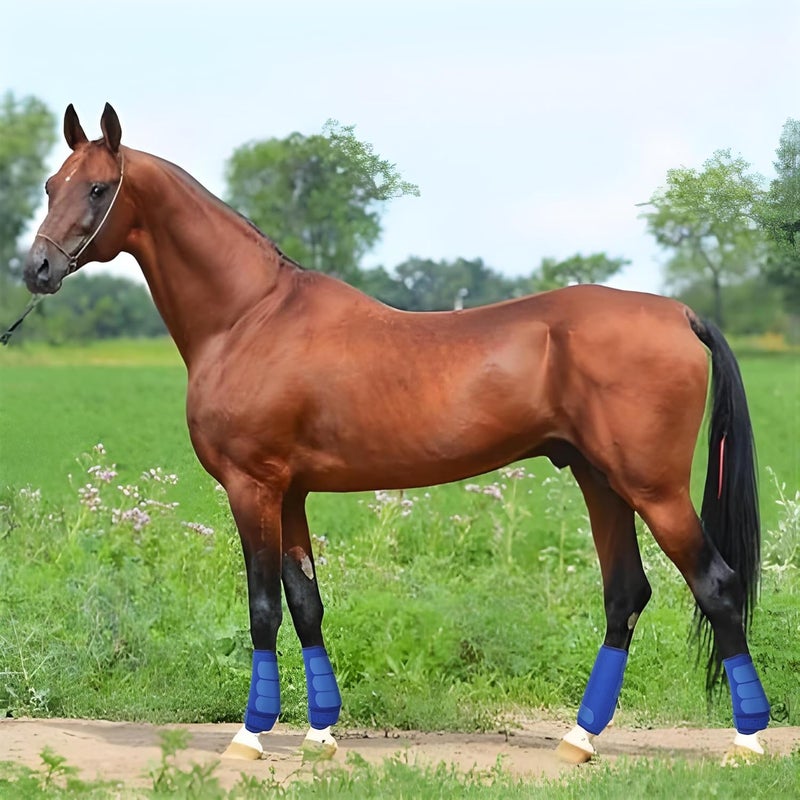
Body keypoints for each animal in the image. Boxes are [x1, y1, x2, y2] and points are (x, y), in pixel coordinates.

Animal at [23, 104, 770, 763]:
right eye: (51, 184)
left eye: (98, 187)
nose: (36, 270)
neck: (250, 316)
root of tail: (679, 313)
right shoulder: (290, 493)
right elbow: (306, 604)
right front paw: (320, 734)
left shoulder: (251, 487)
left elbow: (264, 608)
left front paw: (250, 736)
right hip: (601, 482)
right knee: (625, 596)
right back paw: (579, 740)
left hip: (655, 489)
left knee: (717, 586)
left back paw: (746, 742)